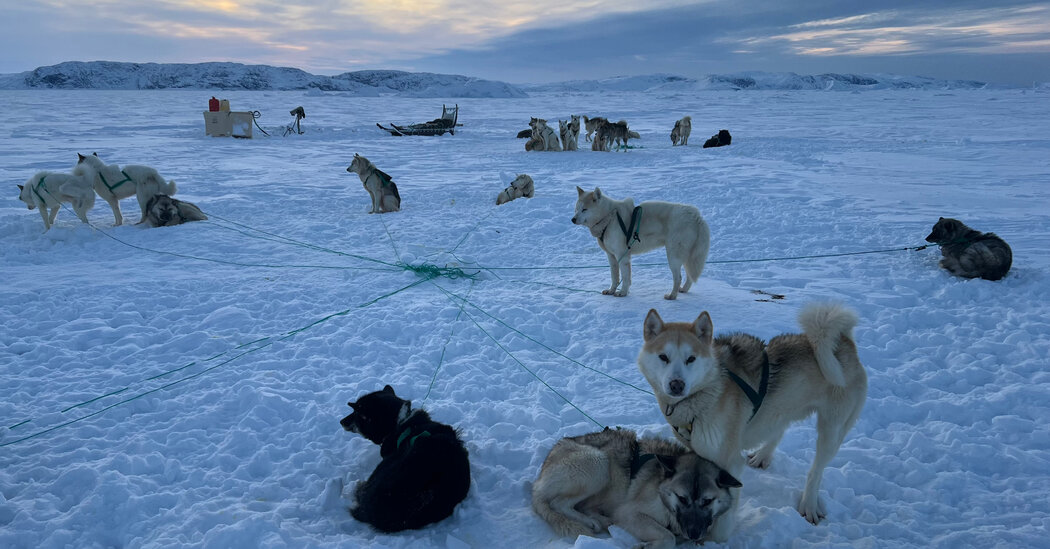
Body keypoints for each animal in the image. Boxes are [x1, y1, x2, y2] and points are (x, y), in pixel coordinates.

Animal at [533, 430, 739, 545]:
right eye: (682, 498)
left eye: (707, 501)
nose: (694, 533)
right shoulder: (630, 513)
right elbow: (668, 537)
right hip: (598, 463)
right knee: (558, 503)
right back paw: (590, 522)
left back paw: (603, 520)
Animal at [571, 187, 709, 300]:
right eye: (576, 209)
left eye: (584, 209)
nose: (573, 219)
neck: (609, 217)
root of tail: (697, 216)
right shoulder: (611, 257)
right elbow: (615, 277)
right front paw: (611, 291)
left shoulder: (622, 256)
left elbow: (625, 277)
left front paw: (622, 293)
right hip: (686, 256)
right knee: (689, 276)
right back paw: (684, 290)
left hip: (673, 256)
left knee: (678, 278)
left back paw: (672, 295)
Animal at [638, 302, 869, 526]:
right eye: (663, 357)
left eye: (691, 359)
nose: (676, 385)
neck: (707, 390)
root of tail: (844, 342)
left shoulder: (728, 462)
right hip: (782, 409)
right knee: (779, 429)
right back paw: (763, 455)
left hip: (832, 430)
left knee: (816, 471)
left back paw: (809, 504)